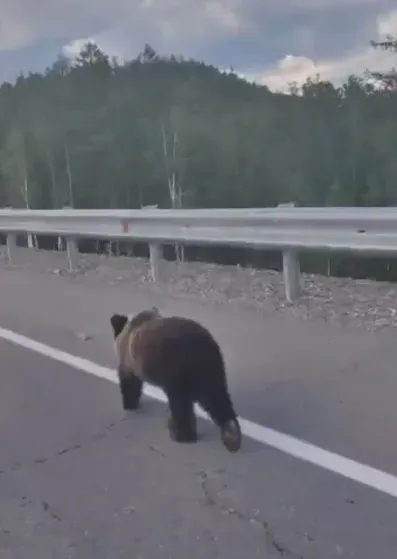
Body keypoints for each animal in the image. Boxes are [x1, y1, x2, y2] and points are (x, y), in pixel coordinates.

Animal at [110, 308, 243, 452]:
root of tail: (203, 347)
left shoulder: (130, 360)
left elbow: (129, 383)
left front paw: (129, 404)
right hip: (213, 370)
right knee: (218, 399)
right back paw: (231, 433)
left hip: (177, 370)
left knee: (180, 404)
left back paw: (180, 434)